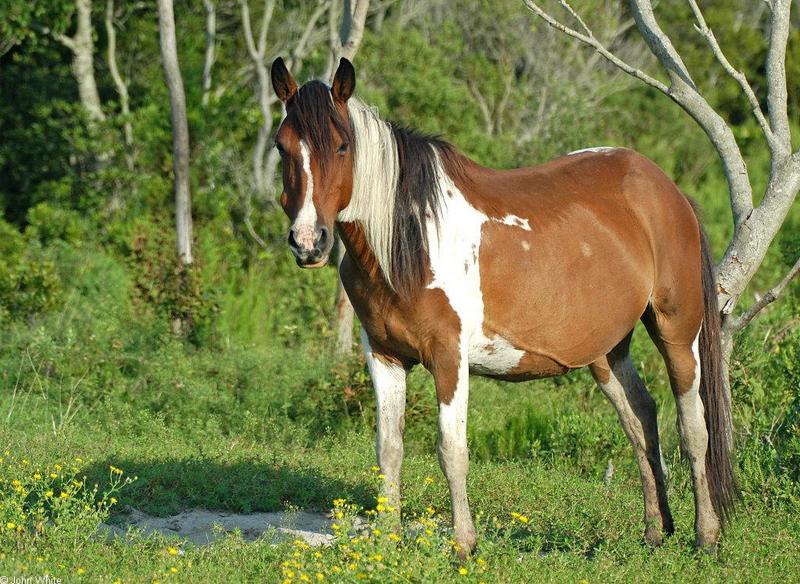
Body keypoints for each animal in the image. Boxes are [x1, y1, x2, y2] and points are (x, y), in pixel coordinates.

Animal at [268, 57, 736, 556]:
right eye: (282, 147)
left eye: (342, 146)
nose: (308, 242)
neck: (409, 239)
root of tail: (668, 190)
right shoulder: (383, 355)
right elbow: (389, 449)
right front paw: (388, 541)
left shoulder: (448, 357)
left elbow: (451, 450)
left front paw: (464, 545)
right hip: (607, 349)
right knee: (641, 417)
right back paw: (655, 530)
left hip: (677, 332)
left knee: (694, 427)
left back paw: (706, 536)